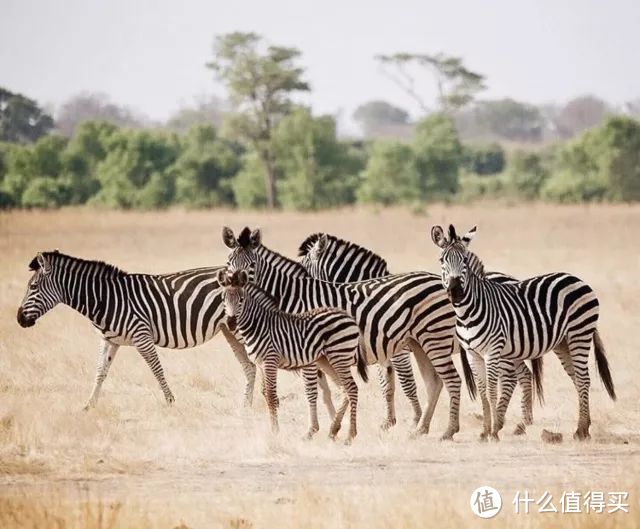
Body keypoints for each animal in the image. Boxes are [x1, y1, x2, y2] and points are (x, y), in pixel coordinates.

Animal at [15, 250, 260, 406]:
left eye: (33, 286)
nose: (18, 319)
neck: (106, 299)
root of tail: (243, 274)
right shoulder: (109, 341)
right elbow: (100, 372)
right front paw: (88, 405)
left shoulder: (142, 336)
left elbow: (157, 369)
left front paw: (170, 402)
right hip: (229, 330)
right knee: (249, 366)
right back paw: (245, 406)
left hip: (241, 329)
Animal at [218, 268, 368, 442]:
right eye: (223, 299)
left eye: (241, 300)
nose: (231, 323)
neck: (259, 325)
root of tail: (348, 316)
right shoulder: (261, 364)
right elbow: (266, 394)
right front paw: (274, 430)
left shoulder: (270, 360)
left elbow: (271, 395)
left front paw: (275, 432)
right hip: (326, 360)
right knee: (345, 389)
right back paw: (333, 429)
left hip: (339, 356)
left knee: (351, 387)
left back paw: (350, 435)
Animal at [298, 233, 544, 436]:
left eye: (304, 266)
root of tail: (512, 278)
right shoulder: (385, 350)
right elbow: (387, 385)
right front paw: (389, 421)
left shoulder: (399, 351)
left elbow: (406, 383)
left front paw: (415, 419)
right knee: (524, 375)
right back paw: (523, 422)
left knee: (513, 377)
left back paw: (508, 421)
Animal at [430, 225, 616, 440]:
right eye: (442, 260)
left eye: (465, 260)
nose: (456, 292)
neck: (467, 313)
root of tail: (576, 279)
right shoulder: (472, 353)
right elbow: (483, 392)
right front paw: (485, 432)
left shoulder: (493, 351)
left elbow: (492, 390)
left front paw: (493, 433)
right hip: (563, 343)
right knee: (578, 379)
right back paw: (584, 426)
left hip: (580, 334)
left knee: (584, 378)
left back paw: (580, 430)